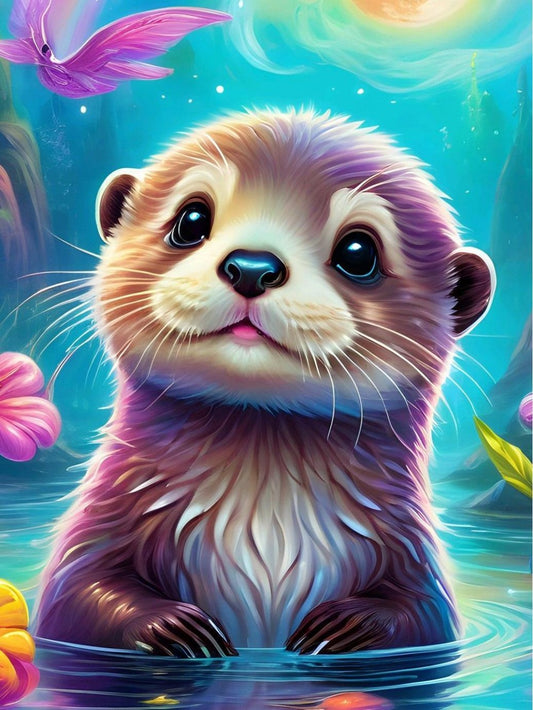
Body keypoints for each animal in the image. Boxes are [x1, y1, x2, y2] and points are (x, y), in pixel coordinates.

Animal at [35, 109, 494, 656]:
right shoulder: (97, 530)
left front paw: (343, 628)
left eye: (359, 252)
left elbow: (420, 616)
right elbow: (78, 597)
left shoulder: (419, 564)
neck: (264, 515)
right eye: (192, 220)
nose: (253, 266)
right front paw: (176, 628)